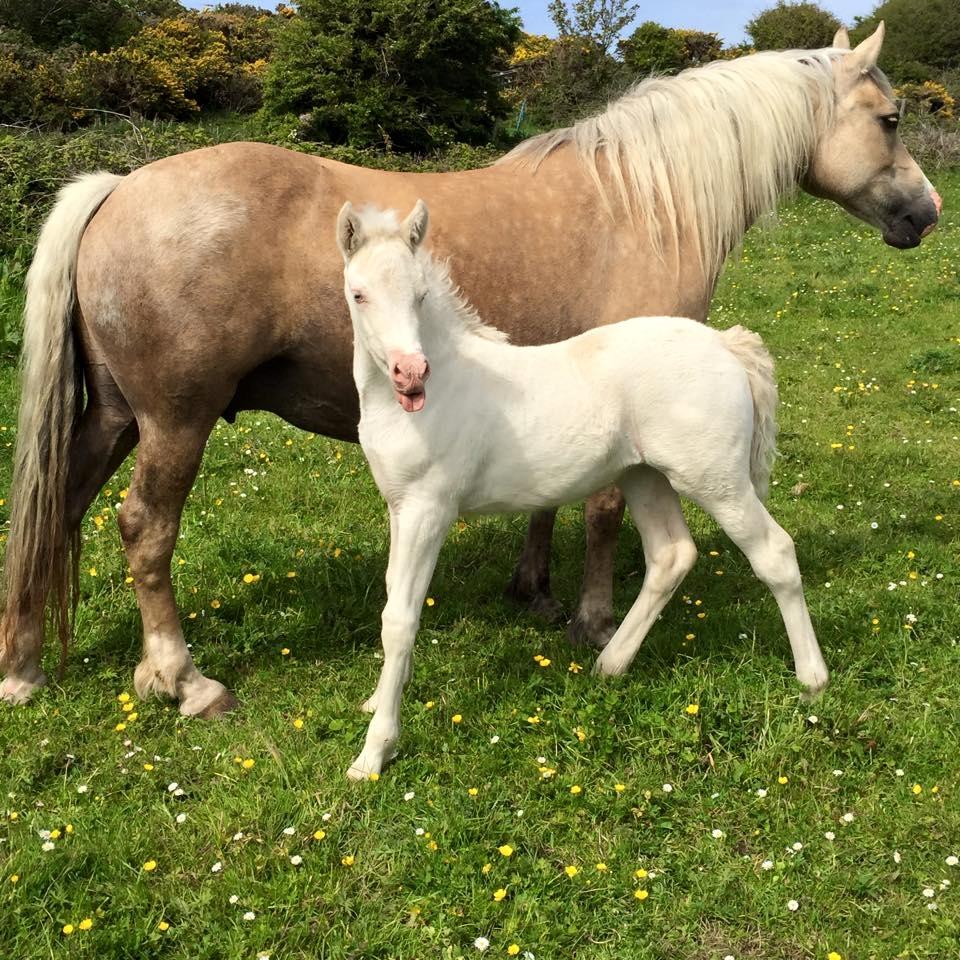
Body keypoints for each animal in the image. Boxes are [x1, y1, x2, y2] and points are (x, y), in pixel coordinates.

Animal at [0, 28, 936, 712]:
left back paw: (25, 666)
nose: (926, 214)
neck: (640, 200)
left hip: (115, 417)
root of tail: (120, 186)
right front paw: (594, 620)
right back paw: (182, 679)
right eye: (890, 119)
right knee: (143, 528)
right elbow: (601, 512)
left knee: (54, 510)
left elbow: (552, 501)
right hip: (175, 421)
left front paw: (536, 590)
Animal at [336, 201, 824, 780]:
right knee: (672, 556)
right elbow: (394, 596)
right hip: (645, 477)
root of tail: (726, 344)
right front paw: (375, 700)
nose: (410, 373)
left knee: (775, 553)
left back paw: (812, 680)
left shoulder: (427, 509)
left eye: (421, 296)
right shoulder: (399, 506)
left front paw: (374, 750)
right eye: (359, 293)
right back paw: (608, 664)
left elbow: (400, 618)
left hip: (717, 480)